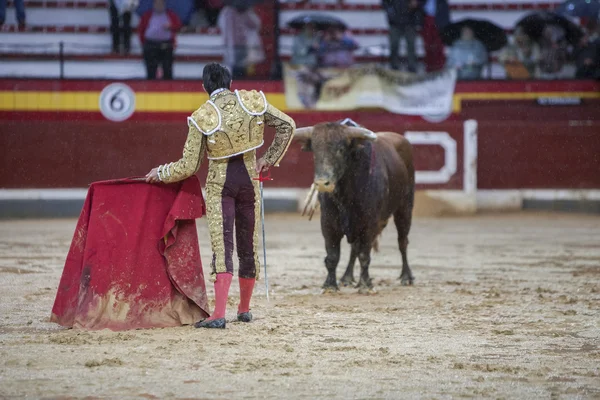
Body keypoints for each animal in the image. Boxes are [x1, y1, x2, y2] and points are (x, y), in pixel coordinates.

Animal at [292, 120, 414, 292]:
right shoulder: (328, 224)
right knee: (354, 249)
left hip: (405, 208)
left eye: (341, 149)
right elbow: (332, 256)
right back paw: (347, 277)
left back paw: (406, 277)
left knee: (402, 241)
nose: (322, 183)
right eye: (315, 150)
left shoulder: (370, 224)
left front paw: (364, 285)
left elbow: (364, 255)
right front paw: (330, 285)